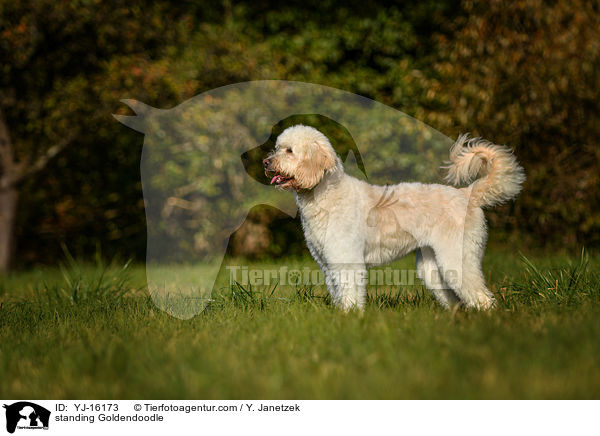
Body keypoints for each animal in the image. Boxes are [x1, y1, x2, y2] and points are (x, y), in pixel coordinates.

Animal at [264, 124, 524, 312]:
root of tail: (468, 194)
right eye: (277, 148)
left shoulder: (347, 260)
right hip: (432, 266)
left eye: (289, 151)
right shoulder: (328, 263)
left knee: (481, 296)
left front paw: (349, 317)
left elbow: (350, 293)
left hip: (458, 257)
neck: (327, 195)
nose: (266, 162)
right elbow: (339, 292)